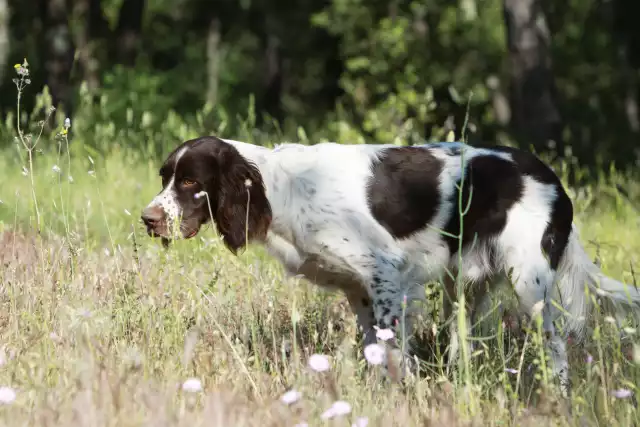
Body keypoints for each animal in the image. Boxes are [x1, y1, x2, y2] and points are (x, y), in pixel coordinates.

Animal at [140, 136, 640, 394]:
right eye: (165, 177)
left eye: (191, 182)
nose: (148, 219)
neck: (283, 188)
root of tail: (552, 178)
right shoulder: (357, 289)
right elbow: (373, 351)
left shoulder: (386, 276)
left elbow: (392, 351)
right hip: (465, 288)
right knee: (463, 343)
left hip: (530, 284)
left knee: (556, 350)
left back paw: (559, 399)